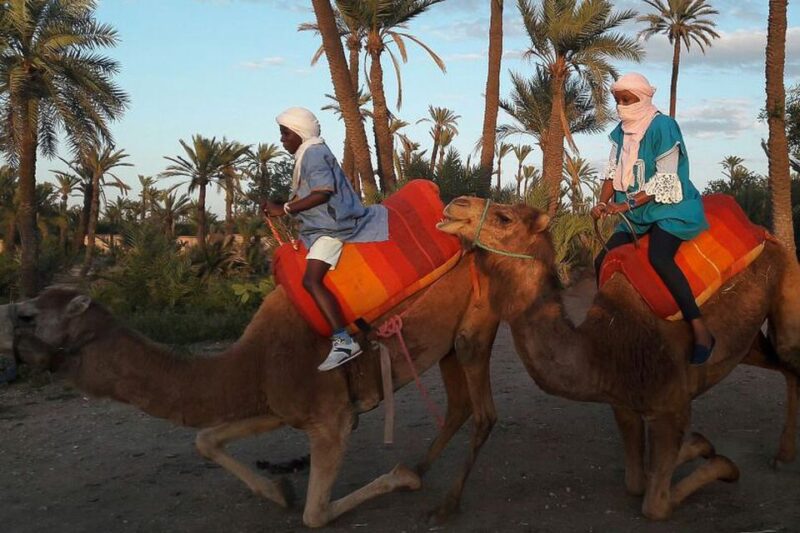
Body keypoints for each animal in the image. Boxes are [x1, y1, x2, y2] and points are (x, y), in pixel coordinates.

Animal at [0, 254, 500, 528]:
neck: (252, 360)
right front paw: (278, 490)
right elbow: (206, 438)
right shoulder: (274, 403)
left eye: (27, 315)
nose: (6, 318)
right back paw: (426, 469)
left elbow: (315, 514)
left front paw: (402, 478)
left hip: (475, 326)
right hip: (447, 343)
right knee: (459, 405)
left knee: (479, 411)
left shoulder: (332, 421)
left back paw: (438, 494)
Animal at [436, 196, 800, 520]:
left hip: (787, 285)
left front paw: (725, 466)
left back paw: (784, 456)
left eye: (504, 218)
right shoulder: (622, 403)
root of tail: (764, 233)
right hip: (749, 345)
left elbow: (655, 506)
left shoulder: (672, 406)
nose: (454, 205)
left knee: (791, 359)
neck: (605, 347)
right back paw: (782, 453)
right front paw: (698, 446)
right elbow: (637, 482)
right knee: (784, 367)